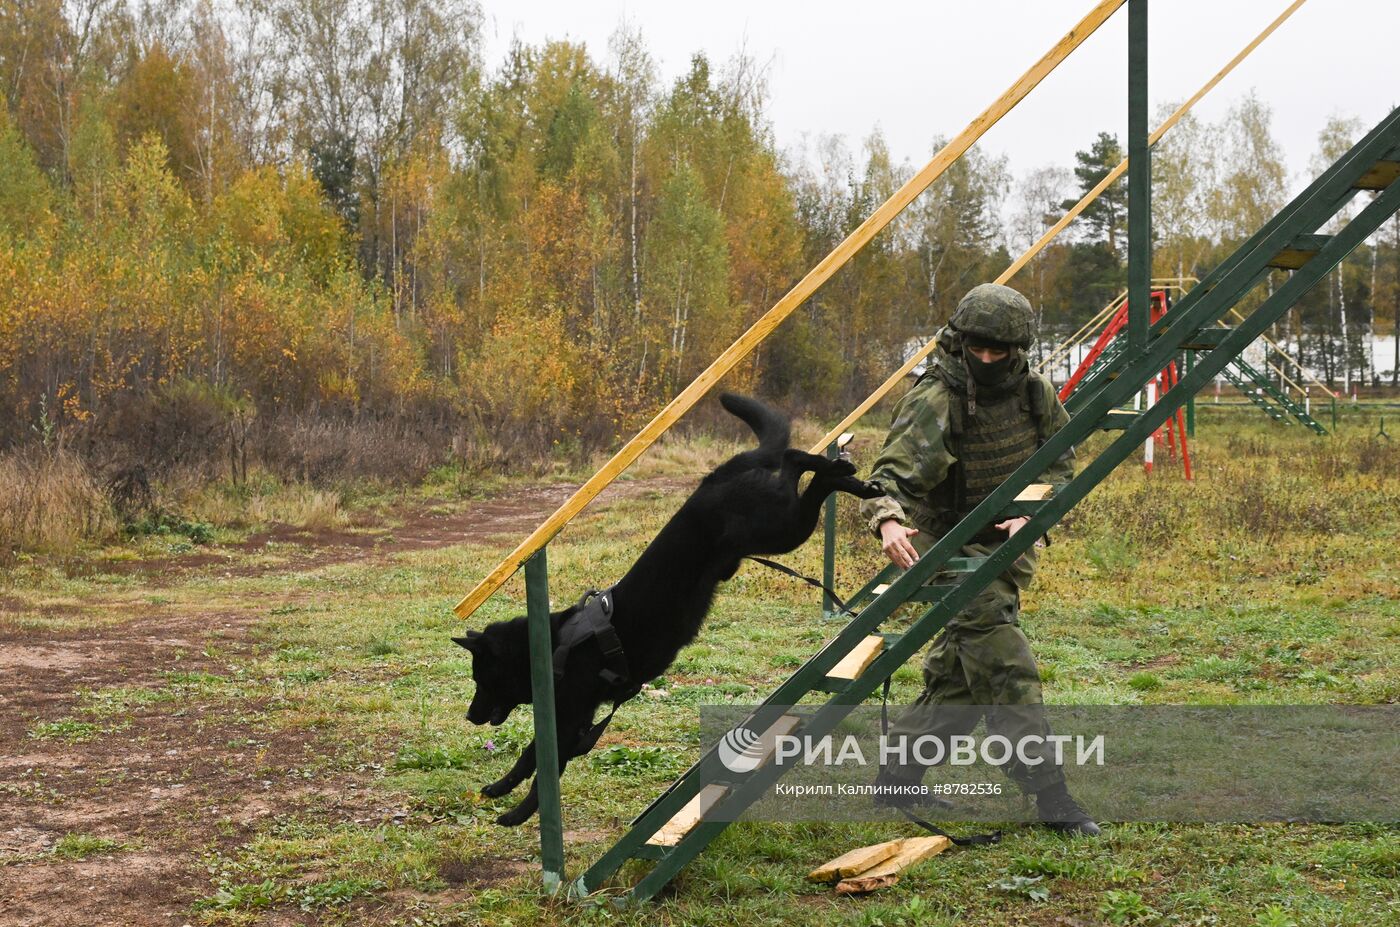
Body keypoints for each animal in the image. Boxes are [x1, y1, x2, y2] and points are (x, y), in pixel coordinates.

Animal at [453, 392, 879, 828]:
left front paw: (518, 813)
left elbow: (540, 768)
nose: (470, 717)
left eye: (481, 678)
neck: (555, 646)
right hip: (782, 527)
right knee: (797, 472)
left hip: (782, 529)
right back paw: (855, 482)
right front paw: (500, 789)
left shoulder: (570, 718)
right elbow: (531, 757)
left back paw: (838, 470)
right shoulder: (575, 722)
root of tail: (713, 479)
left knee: (793, 460)